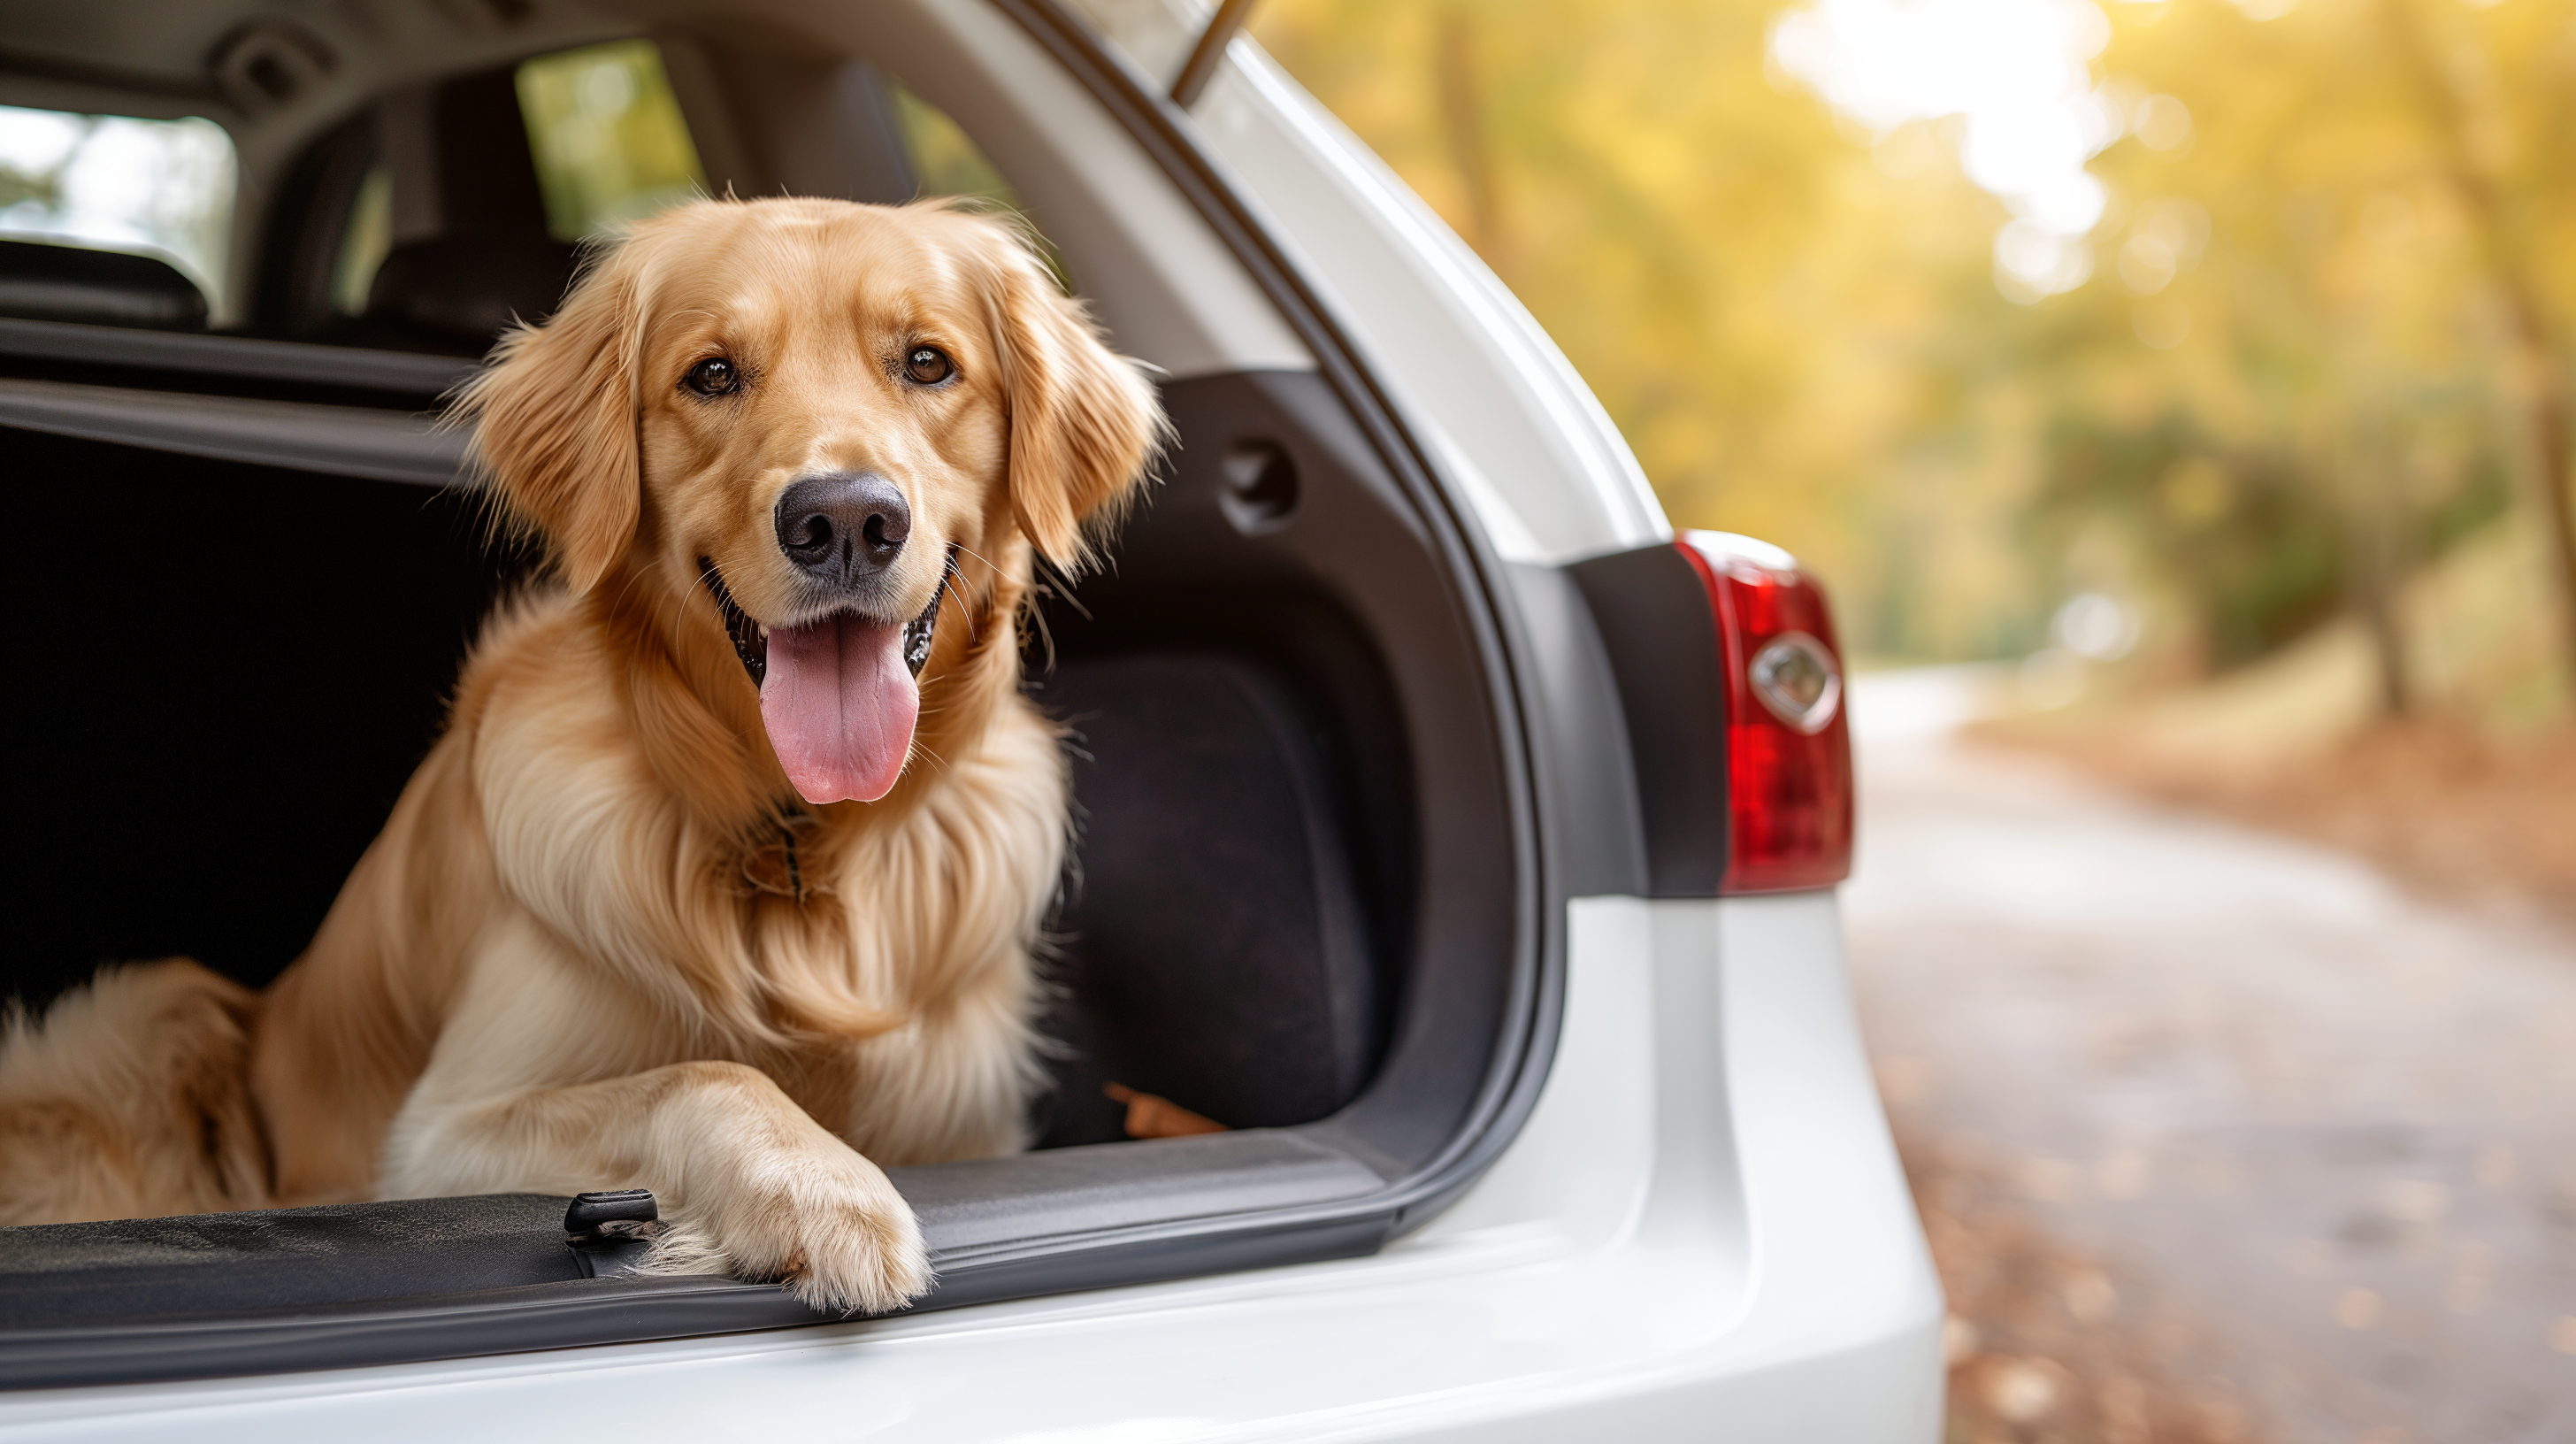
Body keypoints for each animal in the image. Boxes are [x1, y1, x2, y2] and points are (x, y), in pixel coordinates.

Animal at [0, 192, 1164, 1310]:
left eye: (926, 363)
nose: (844, 520)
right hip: (152, 1016)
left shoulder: (971, 1127)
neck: (796, 846)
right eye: (712, 374)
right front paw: (823, 1188)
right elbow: (703, 1074)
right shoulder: (440, 1135)